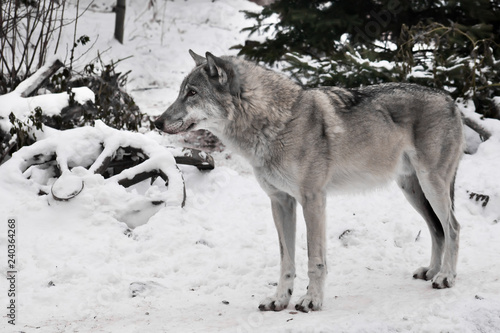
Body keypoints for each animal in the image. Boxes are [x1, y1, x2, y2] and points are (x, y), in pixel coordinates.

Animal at [155, 49, 464, 312]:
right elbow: (286, 260)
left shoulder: (313, 200)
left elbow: (314, 259)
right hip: (412, 189)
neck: (275, 123)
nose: (156, 122)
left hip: (431, 186)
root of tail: (451, 100)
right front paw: (280, 300)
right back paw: (432, 271)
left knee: (453, 227)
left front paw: (312, 300)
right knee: (436, 229)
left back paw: (446, 277)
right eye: (181, 92)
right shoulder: (280, 202)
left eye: (192, 93)